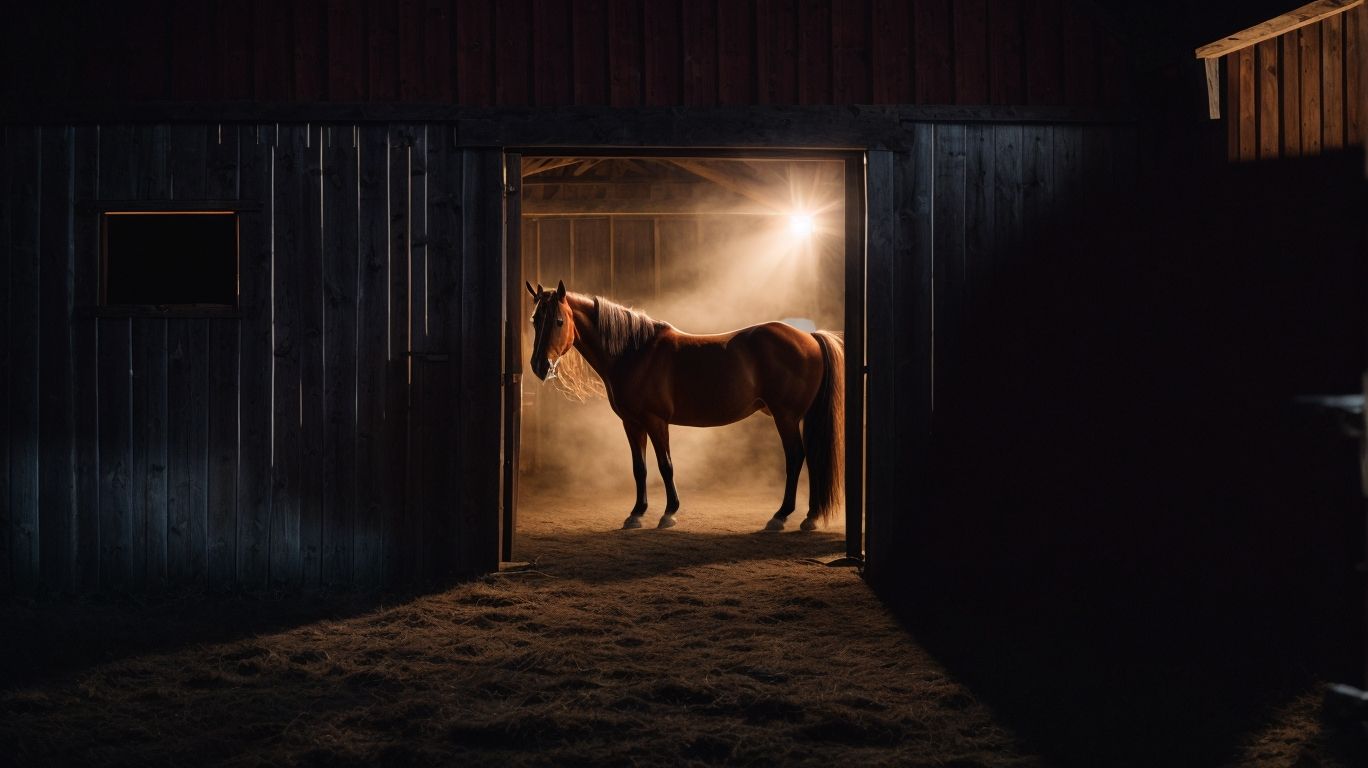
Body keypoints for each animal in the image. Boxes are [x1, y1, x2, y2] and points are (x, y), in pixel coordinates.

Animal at [526, 280, 844, 531]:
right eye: (535, 320)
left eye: (559, 321)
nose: (540, 366)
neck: (635, 353)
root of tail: (810, 337)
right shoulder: (632, 423)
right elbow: (639, 468)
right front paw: (636, 514)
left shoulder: (656, 421)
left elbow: (665, 465)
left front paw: (668, 514)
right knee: (811, 457)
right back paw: (810, 517)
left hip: (786, 417)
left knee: (795, 457)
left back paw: (781, 516)